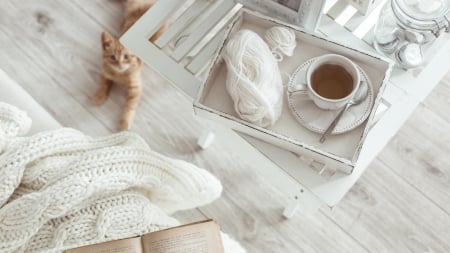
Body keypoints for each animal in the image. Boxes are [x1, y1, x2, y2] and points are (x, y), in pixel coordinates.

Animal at [93, 0, 169, 130]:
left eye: (126, 57)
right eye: (113, 57)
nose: (120, 65)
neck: (119, 74)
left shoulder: (136, 86)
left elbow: (130, 105)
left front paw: (124, 121)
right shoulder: (105, 72)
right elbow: (103, 84)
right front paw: (99, 96)